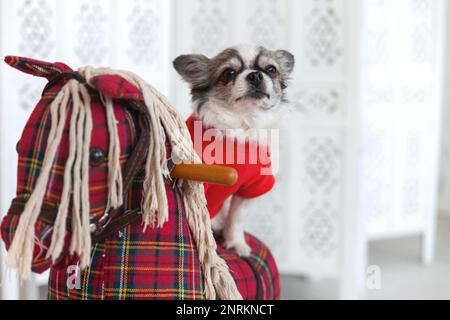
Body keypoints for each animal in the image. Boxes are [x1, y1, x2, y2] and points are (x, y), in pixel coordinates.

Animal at [173, 45, 296, 256]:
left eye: (271, 69)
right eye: (228, 73)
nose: (255, 75)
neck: (242, 125)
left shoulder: (250, 187)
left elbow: (237, 218)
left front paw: (237, 243)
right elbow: (201, 223)